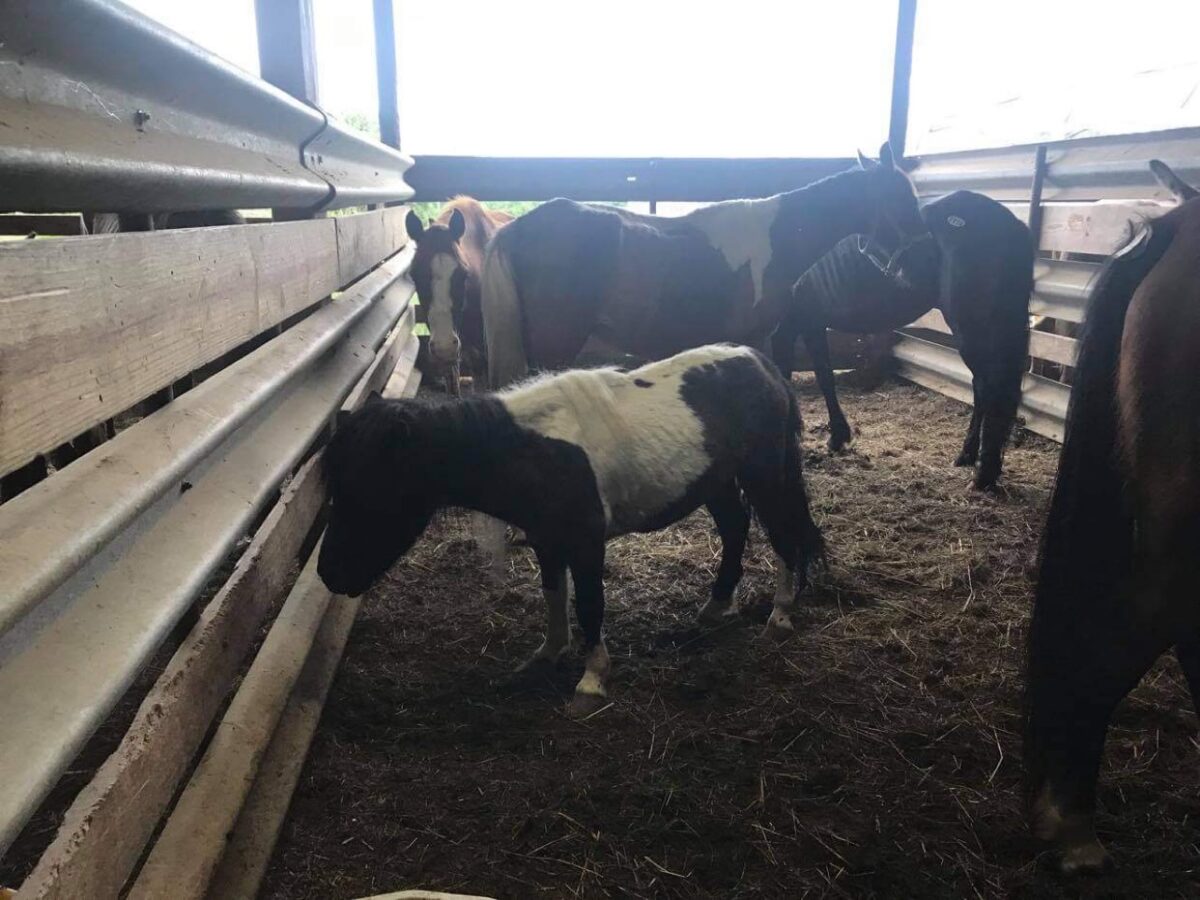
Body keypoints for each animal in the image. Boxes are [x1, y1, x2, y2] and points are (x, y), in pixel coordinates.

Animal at [317, 345, 824, 717]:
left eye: (371, 493)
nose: (329, 574)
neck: (529, 451)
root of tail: (762, 364)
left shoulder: (585, 543)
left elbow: (589, 604)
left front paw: (592, 681)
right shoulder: (547, 540)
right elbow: (553, 596)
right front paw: (547, 654)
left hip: (766, 475)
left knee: (783, 536)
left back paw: (779, 616)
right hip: (715, 484)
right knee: (736, 530)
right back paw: (716, 606)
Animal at [772, 190, 1033, 491]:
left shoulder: (789, 325)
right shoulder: (810, 322)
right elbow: (824, 376)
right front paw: (838, 436)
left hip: (973, 329)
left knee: (990, 388)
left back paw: (982, 474)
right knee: (981, 388)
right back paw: (966, 456)